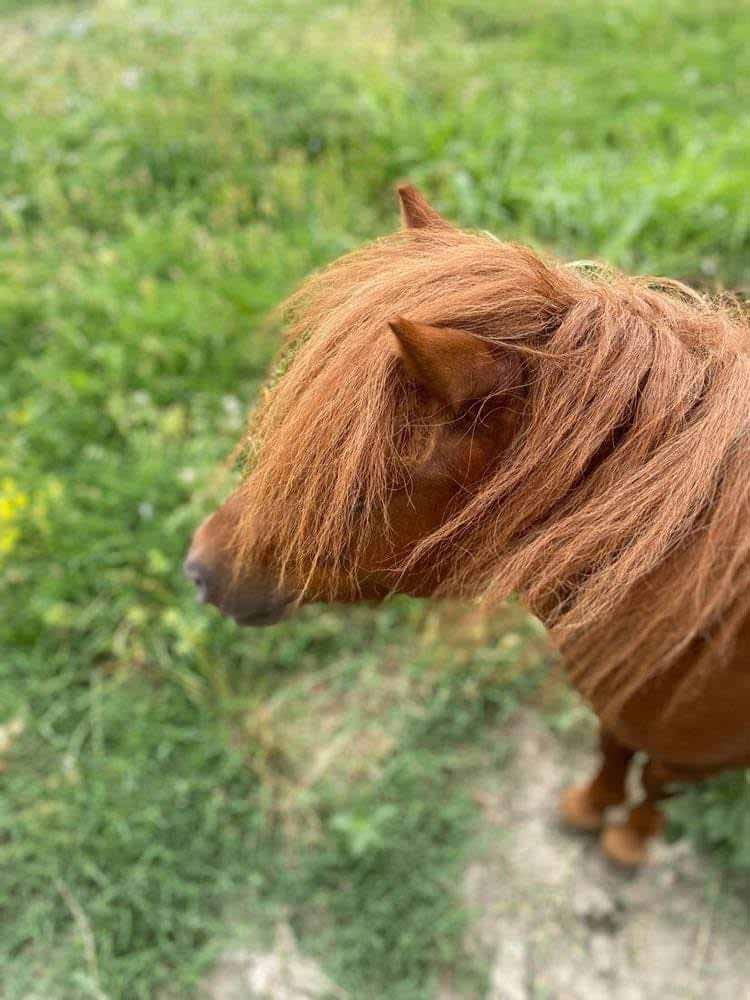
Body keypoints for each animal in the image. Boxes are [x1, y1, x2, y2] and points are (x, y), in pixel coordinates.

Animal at [185, 186, 750, 868]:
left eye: (351, 494)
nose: (199, 566)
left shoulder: (689, 754)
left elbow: (656, 783)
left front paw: (629, 841)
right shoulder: (619, 702)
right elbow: (611, 746)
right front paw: (590, 807)